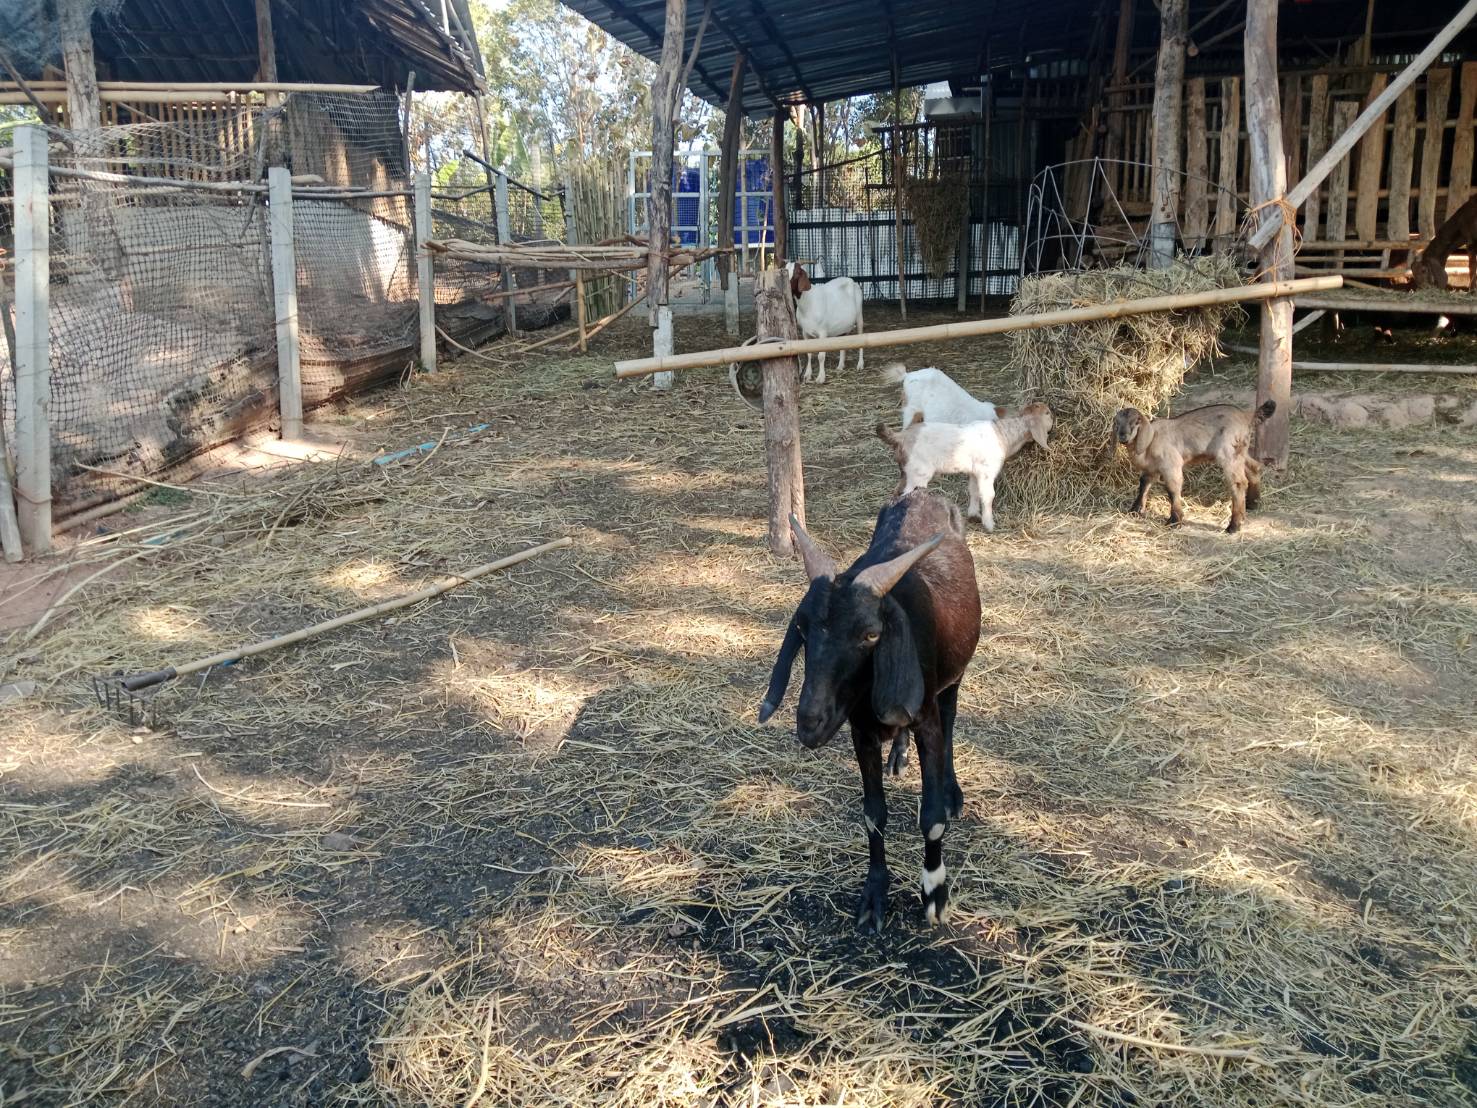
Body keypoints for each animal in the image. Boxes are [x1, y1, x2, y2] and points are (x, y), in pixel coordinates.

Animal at [761, 491, 980, 929]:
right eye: (803, 628)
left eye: (871, 635)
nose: (810, 723)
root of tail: (924, 494)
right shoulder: (860, 731)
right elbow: (873, 813)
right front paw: (875, 894)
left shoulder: (926, 720)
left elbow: (931, 817)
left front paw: (935, 892)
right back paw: (899, 752)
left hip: (953, 678)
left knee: (950, 716)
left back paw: (952, 790)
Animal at [875, 404, 1053, 532]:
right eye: (1048, 413)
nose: (1054, 420)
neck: (1003, 434)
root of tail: (901, 436)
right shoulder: (986, 472)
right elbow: (988, 495)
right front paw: (989, 524)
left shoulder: (975, 472)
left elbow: (973, 490)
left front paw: (973, 515)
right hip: (918, 473)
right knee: (908, 495)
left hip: (906, 472)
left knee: (896, 493)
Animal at [1113, 399, 1274, 533]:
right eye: (1117, 423)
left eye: (1135, 422)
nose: (1123, 436)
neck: (1151, 439)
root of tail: (1246, 417)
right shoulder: (1151, 469)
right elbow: (1144, 485)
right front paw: (1135, 510)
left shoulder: (1171, 465)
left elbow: (1172, 490)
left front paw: (1175, 520)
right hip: (1240, 451)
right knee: (1254, 468)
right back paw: (1253, 503)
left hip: (1229, 453)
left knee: (1238, 483)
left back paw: (1234, 526)